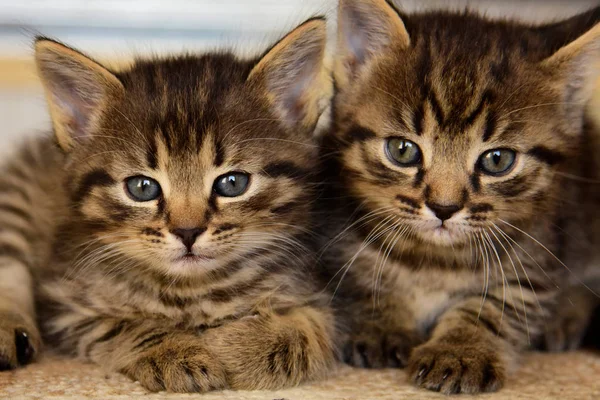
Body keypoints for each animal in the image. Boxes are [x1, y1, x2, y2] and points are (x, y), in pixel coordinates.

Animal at [0, 18, 338, 390]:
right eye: (142, 187)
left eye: (233, 183)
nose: (187, 231)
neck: (193, 291)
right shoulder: (66, 304)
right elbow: (118, 326)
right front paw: (176, 351)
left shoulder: (310, 290)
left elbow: (312, 327)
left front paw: (240, 347)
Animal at [324, 0, 600, 394]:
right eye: (402, 150)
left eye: (498, 160)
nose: (444, 207)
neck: (436, 262)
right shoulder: (337, 237)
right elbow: (360, 280)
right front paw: (380, 323)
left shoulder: (535, 257)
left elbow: (494, 309)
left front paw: (459, 353)